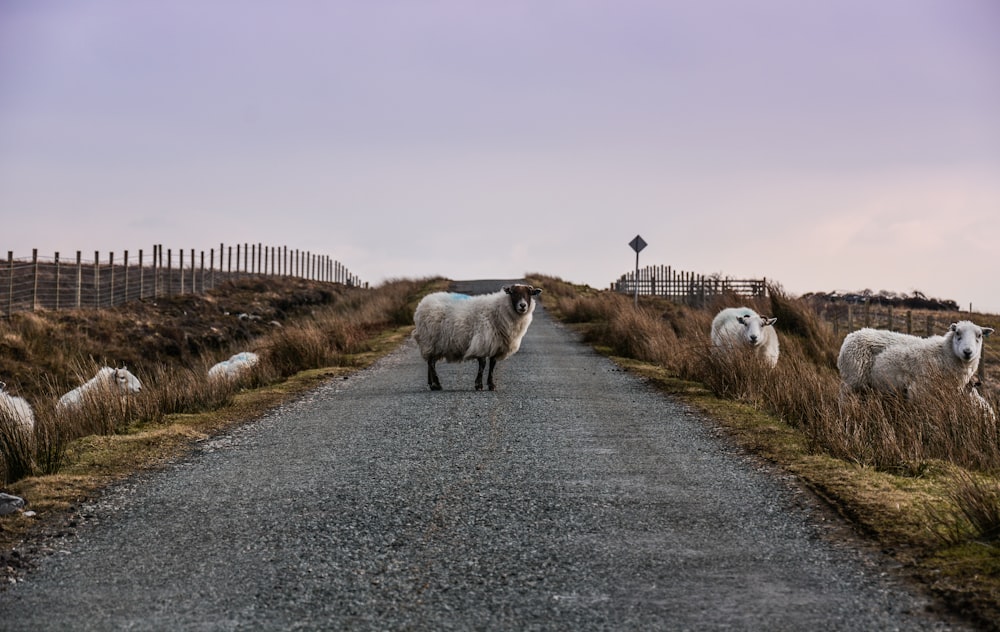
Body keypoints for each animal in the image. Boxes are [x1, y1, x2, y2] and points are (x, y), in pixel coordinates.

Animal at [412, 282, 544, 390]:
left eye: (530, 294)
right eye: (513, 293)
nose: (523, 305)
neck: (499, 310)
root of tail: (422, 303)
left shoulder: (496, 344)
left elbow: (492, 365)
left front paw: (491, 385)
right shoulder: (483, 341)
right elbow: (483, 364)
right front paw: (479, 385)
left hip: (435, 343)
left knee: (430, 362)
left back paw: (431, 384)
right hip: (430, 339)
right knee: (431, 363)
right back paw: (437, 385)